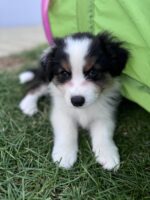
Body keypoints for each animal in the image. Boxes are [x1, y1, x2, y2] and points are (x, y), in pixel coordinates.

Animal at [18, 31, 129, 170]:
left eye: (93, 72)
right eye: (64, 73)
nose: (77, 101)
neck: (83, 109)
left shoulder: (104, 113)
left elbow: (103, 133)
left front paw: (107, 155)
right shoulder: (61, 112)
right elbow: (67, 131)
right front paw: (64, 155)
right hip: (47, 78)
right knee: (35, 86)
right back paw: (28, 105)